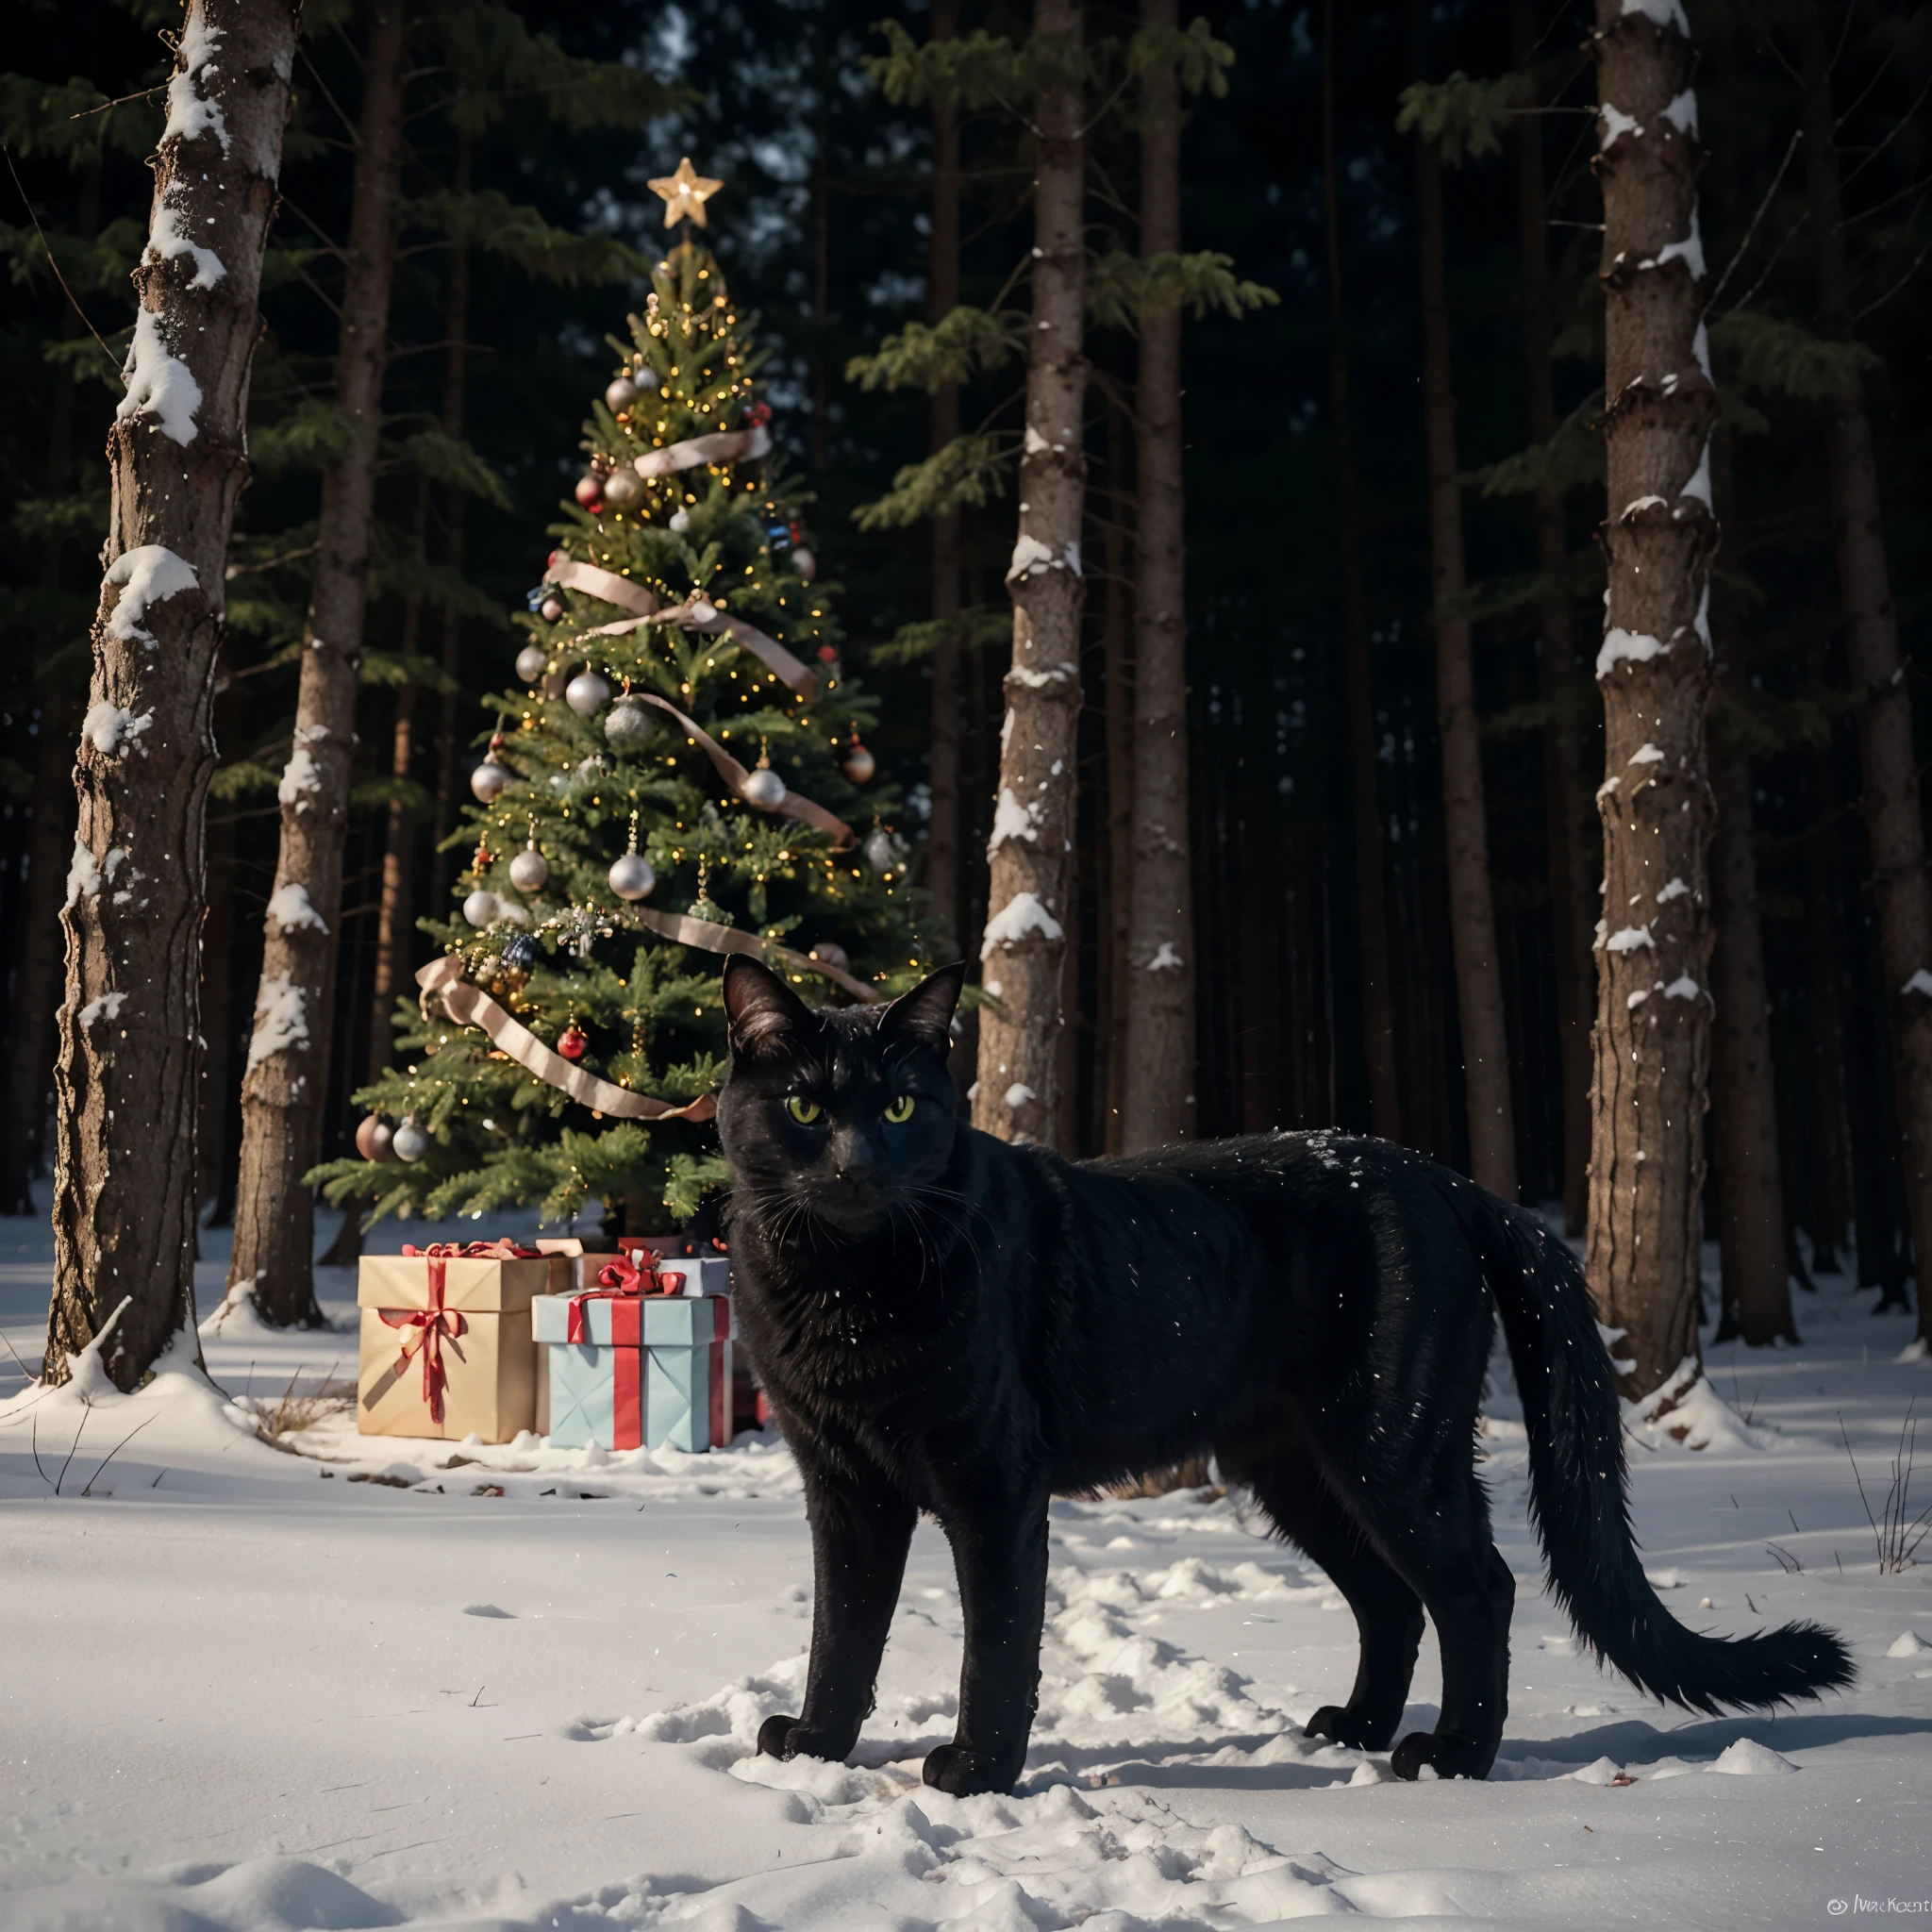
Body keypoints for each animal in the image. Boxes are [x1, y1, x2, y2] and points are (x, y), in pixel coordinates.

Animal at [714, 958, 1855, 1800]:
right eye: (806, 1108)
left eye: (904, 1106)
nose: (856, 1163)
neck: (837, 1285)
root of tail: (1451, 1180)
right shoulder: (843, 1485)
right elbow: (842, 1629)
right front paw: (817, 1745)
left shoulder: (993, 1484)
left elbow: (994, 1642)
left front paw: (976, 1774)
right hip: (1300, 1469)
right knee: (1392, 1601)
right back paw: (1354, 1729)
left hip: (1392, 1443)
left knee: (1474, 1587)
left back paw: (1452, 1758)